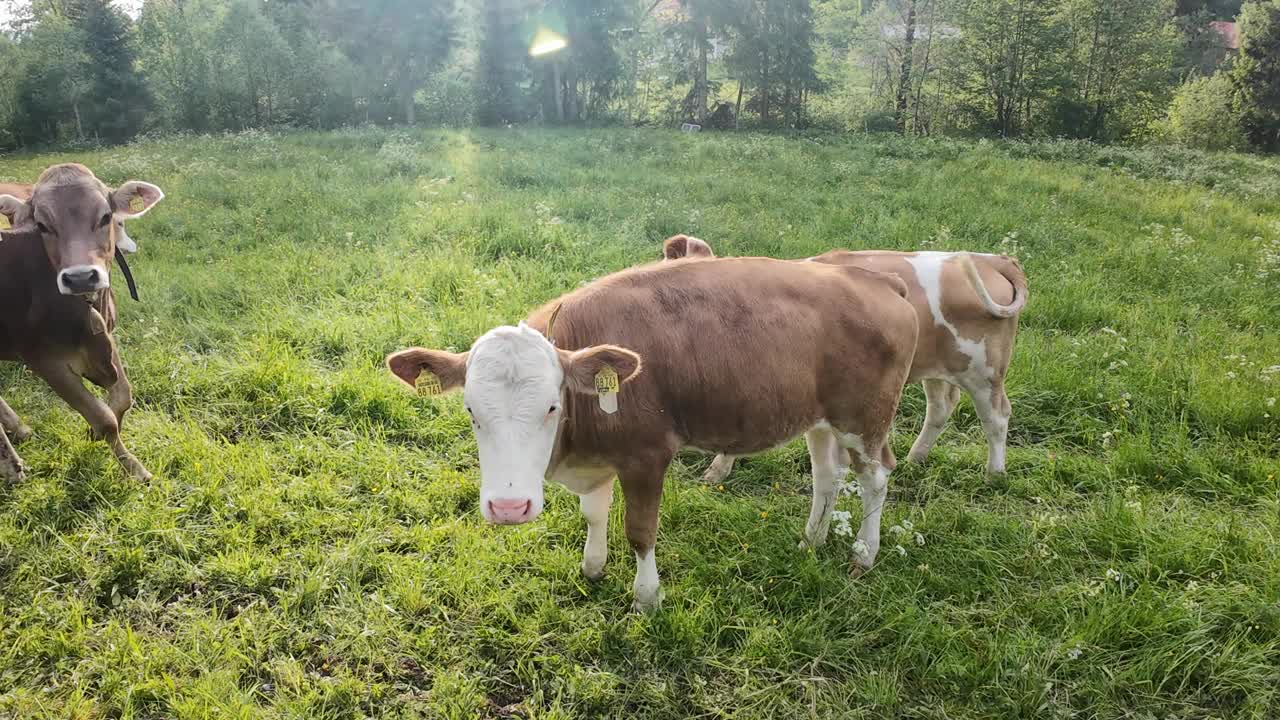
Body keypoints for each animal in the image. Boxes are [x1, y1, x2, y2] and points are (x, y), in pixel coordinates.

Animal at [0, 163, 165, 481]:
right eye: (42, 226)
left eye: (106, 217)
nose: (79, 277)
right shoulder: (44, 360)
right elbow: (104, 418)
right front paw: (136, 471)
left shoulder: (106, 335)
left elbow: (122, 397)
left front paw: (93, 435)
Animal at [384, 254, 916, 607]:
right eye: (471, 410)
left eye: (552, 407)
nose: (509, 508)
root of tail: (879, 278)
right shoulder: (598, 460)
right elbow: (594, 514)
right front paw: (593, 566)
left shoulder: (646, 456)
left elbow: (640, 532)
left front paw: (646, 596)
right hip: (820, 419)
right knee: (827, 477)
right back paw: (812, 539)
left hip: (866, 420)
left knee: (876, 478)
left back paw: (864, 553)